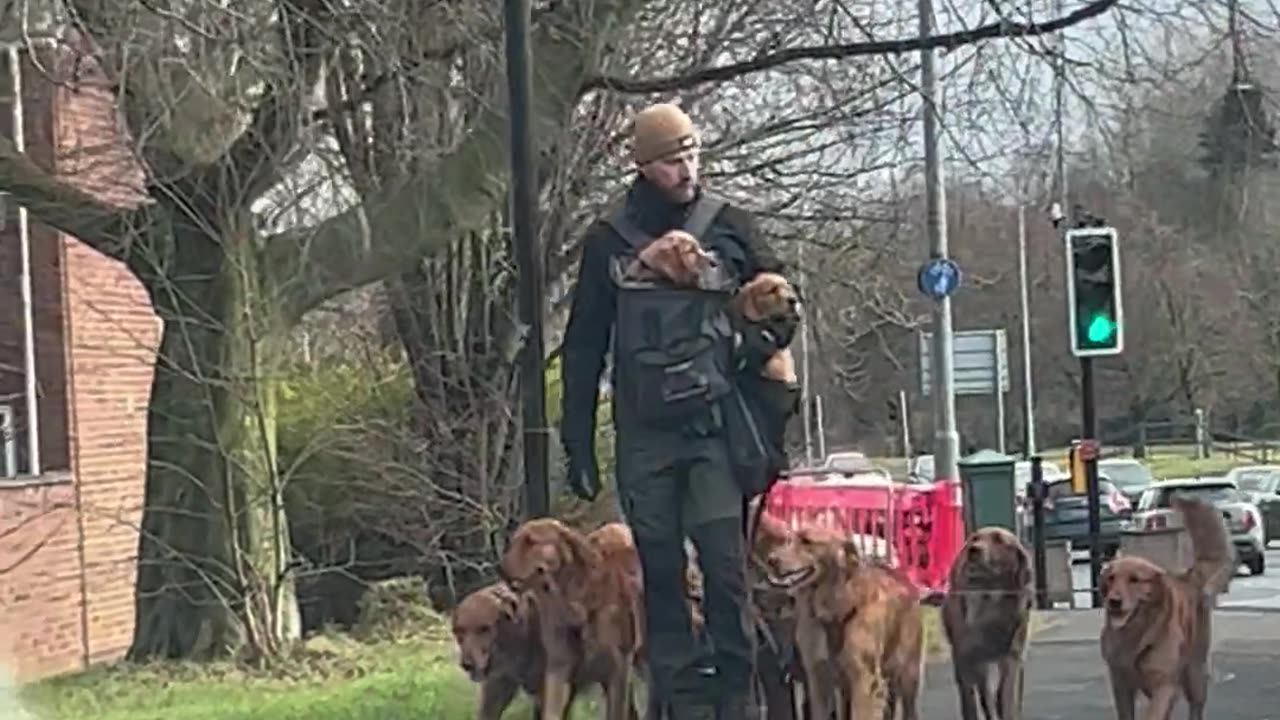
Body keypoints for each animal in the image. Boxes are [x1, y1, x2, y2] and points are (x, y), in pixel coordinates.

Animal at [499, 515, 640, 717]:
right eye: (514, 542)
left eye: (531, 542)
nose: (500, 569)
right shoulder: (559, 668)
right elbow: (552, 711)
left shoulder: (618, 668)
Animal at [762, 520, 926, 717]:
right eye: (788, 540)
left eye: (807, 541)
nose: (771, 560)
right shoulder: (818, 678)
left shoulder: (864, 680)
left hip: (906, 674)